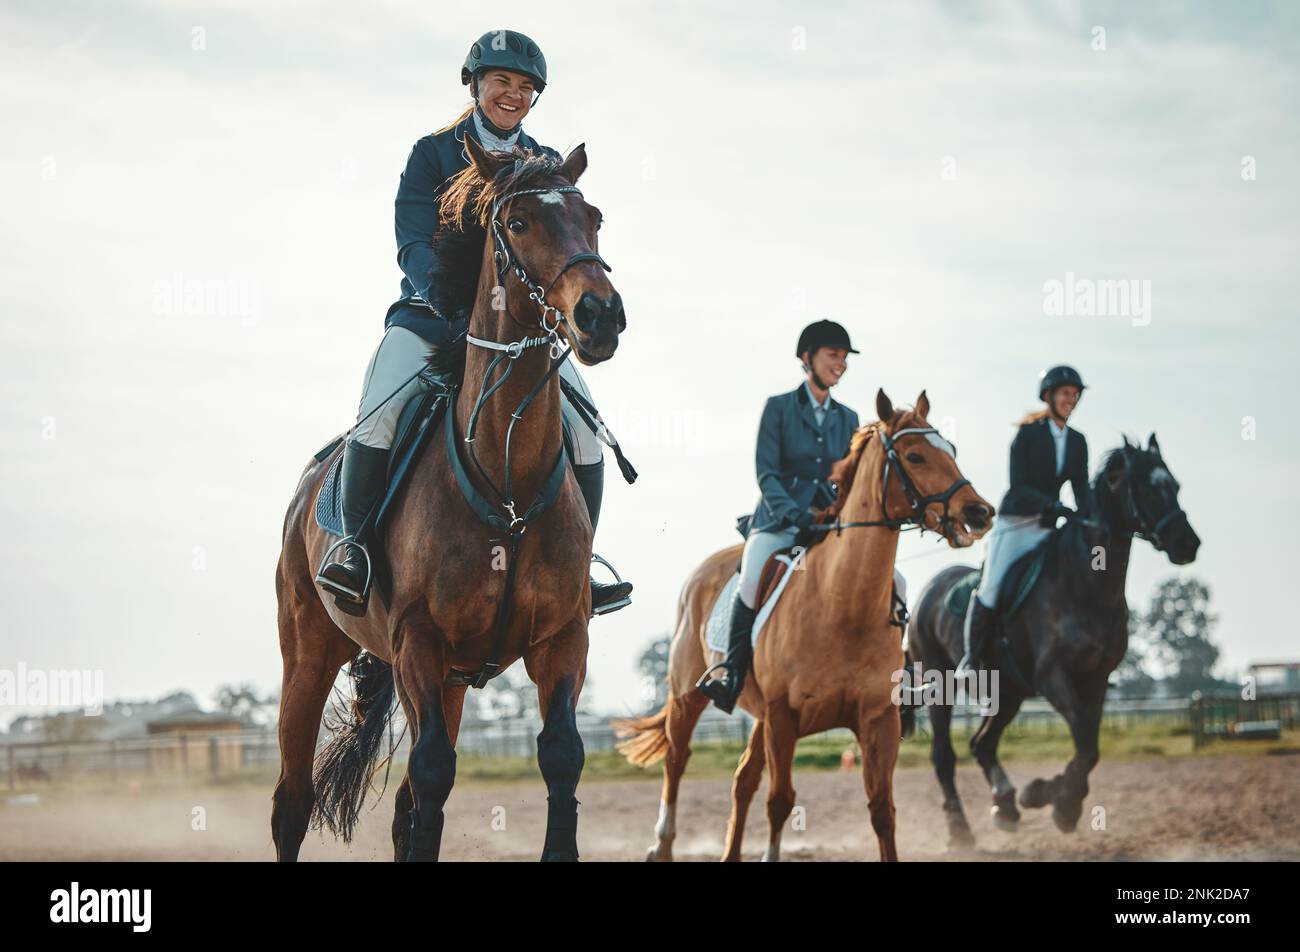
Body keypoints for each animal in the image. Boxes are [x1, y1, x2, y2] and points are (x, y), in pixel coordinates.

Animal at [270, 135, 624, 863]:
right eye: (518, 222)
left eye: (594, 218)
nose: (601, 315)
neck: (507, 478)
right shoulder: (419, 644)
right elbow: (433, 772)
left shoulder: (561, 639)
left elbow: (561, 757)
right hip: (310, 658)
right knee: (292, 802)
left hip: (455, 681)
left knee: (405, 805)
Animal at [613, 392, 987, 863]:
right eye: (915, 455)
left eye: (950, 449)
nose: (979, 512)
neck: (843, 606)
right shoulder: (783, 715)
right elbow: (780, 801)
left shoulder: (877, 718)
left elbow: (882, 808)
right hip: (689, 696)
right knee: (677, 762)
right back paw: (661, 845)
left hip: (759, 716)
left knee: (742, 780)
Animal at [904, 434, 1196, 842]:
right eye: (1148, 488)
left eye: (1176, 486)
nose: (1188, 544)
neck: (1086, 584)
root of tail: (927, 591)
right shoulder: (1053, 676)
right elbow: (1086, 745)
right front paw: (1055, 800)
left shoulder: (1096, 679)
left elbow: (1089, 746)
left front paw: (1055, 799)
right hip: (939, 683)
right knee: (944, 756)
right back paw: (961, 830)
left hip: (1008, 692)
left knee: (982, 744)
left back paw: (1006, 806)